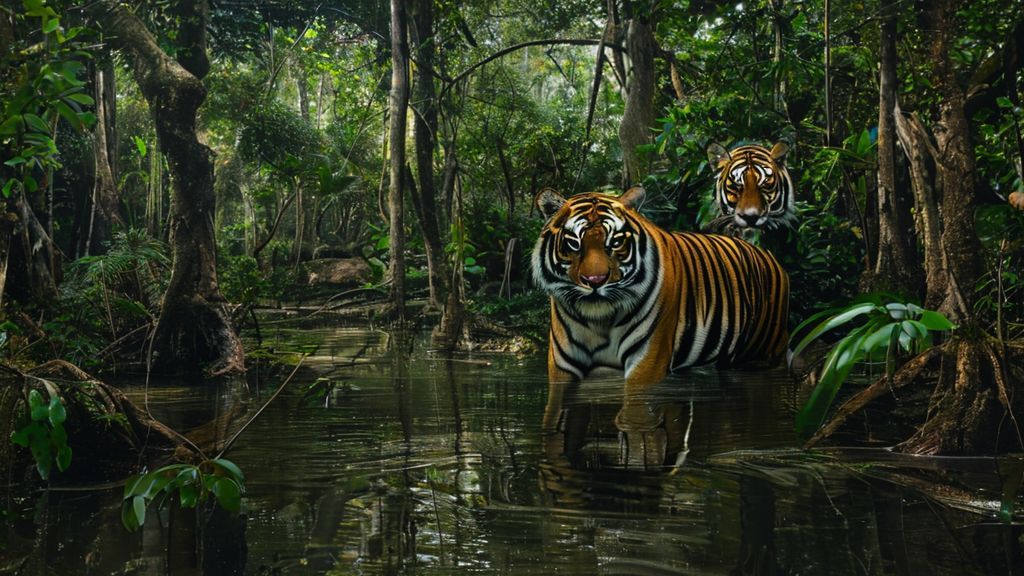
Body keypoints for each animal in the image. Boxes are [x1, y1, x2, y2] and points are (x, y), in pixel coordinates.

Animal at [532, 186, 789, 432]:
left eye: (615, 242)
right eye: (574, 243)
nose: (595, 281)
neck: (599, 319)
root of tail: (768, 255)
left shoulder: (645, 363)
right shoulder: (563, 369)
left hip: (765, 354)